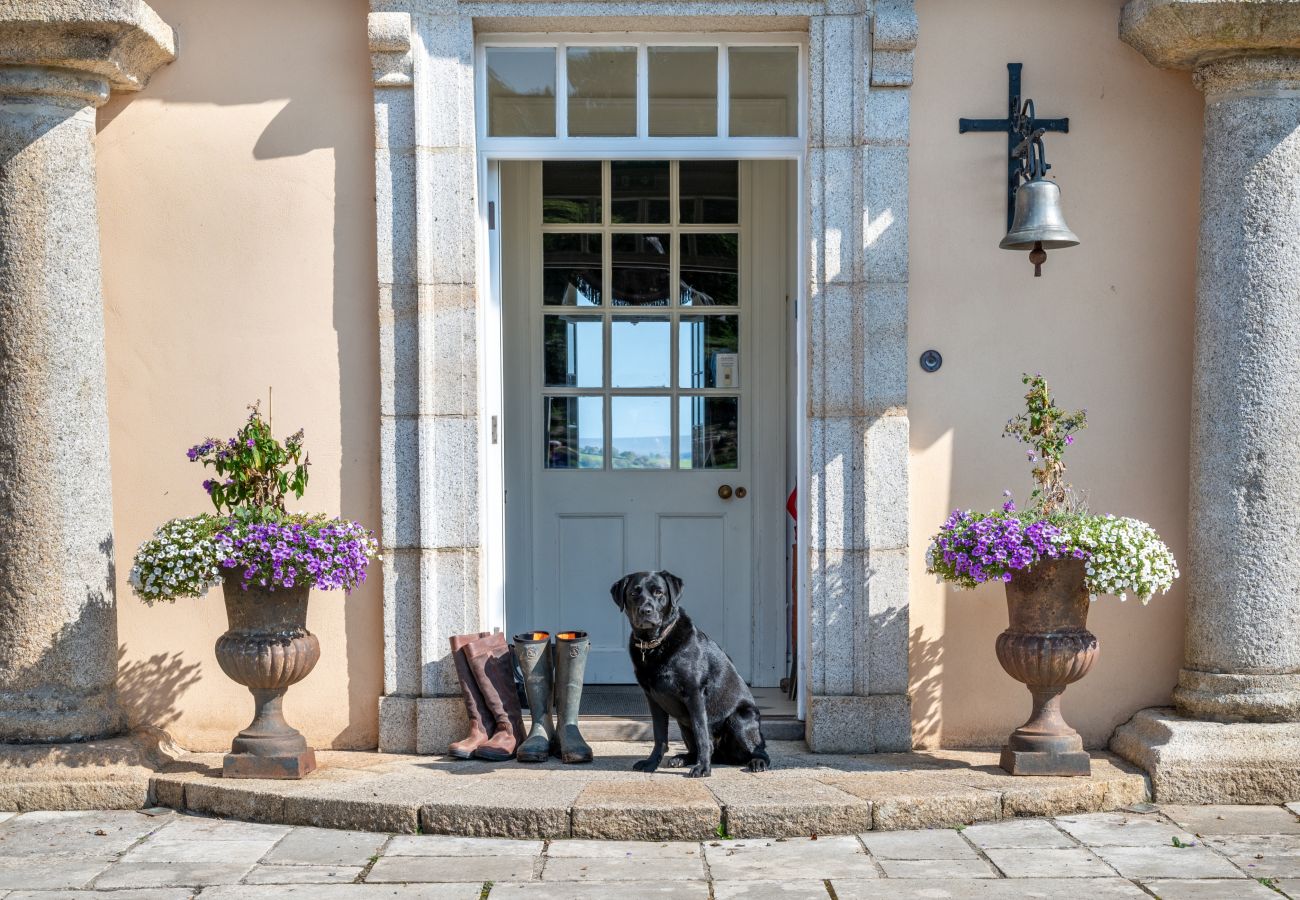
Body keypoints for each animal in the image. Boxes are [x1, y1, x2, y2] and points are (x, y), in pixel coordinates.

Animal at [611, 572, 769, 775]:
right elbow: (659, 736)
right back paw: (681, 758)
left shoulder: (694, 694)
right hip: (682, 723)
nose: (645, 611)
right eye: (633, 593)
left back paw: (757, 762)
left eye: (659, 592)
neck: (655, 643)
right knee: (699, 748)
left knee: (759, 750)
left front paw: (703, 769)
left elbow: (702, 734)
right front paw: (651, 763)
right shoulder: (653, 699)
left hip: (740, 718)